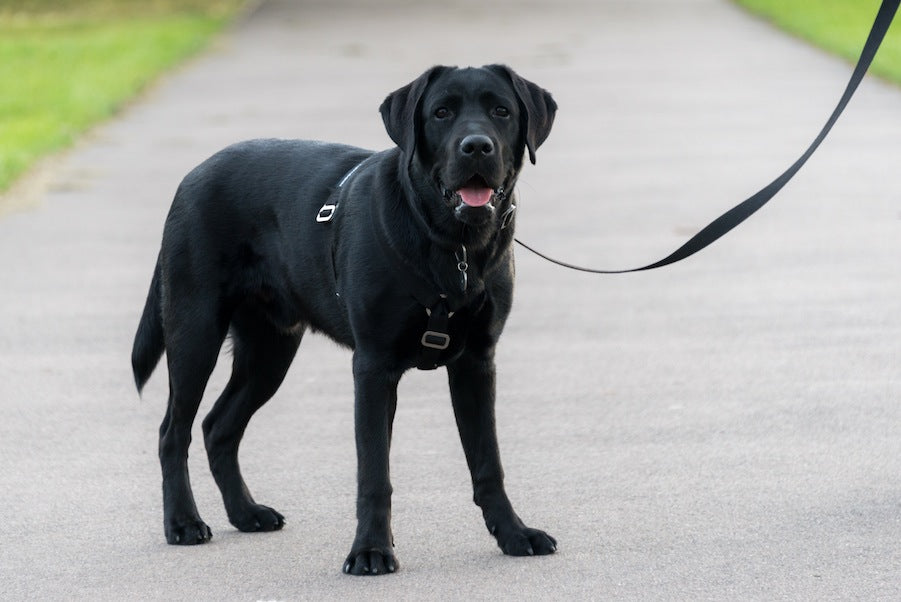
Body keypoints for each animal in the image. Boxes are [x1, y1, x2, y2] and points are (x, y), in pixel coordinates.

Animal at [132, 63, 556, 576]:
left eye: (501, 111)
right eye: (441, 113)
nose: (476, 146)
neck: (452, 245)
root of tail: (191, 176)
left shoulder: (476, 362)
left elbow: (488, 463)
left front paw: (514, 534)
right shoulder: (373, 366)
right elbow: (374, 472)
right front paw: (371, 550)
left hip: (269, 351)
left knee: (218, 426)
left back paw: (246, 513)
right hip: (195, 332)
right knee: (172, 432)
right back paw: (182, 522)